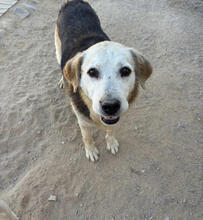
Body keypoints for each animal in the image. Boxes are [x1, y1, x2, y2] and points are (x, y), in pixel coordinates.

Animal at [54, 0, 152, 162]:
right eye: (92, 72)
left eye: (125, 71)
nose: (110, 106)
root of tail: (74, 1)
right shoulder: (83, 122)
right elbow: (87, 138)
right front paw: (91, 150)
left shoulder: (113, 119)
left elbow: (111, 130)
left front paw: (111, 142)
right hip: (57, 48)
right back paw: (63, 79)